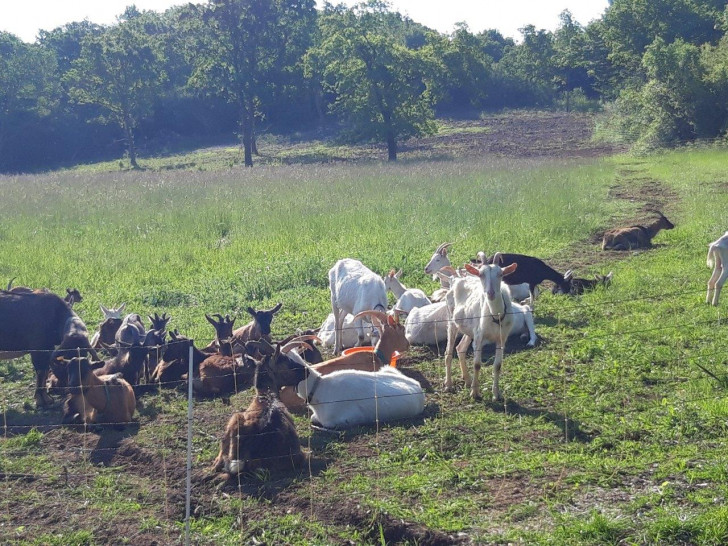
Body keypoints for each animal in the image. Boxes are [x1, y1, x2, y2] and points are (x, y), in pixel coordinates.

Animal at [444, 260, 516, 400]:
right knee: (448, 353)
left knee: (460, 348)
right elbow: (477, 364)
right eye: (481, 274)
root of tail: (456, 280)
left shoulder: (501, 339)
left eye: (500, 274)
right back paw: (449, 385)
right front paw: (475, 393)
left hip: (469, 328)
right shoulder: (479, 337)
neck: (496, 316)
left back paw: (467, 380)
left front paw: (496, 394)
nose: (490, 293)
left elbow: (498, 366)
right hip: (451, 321)